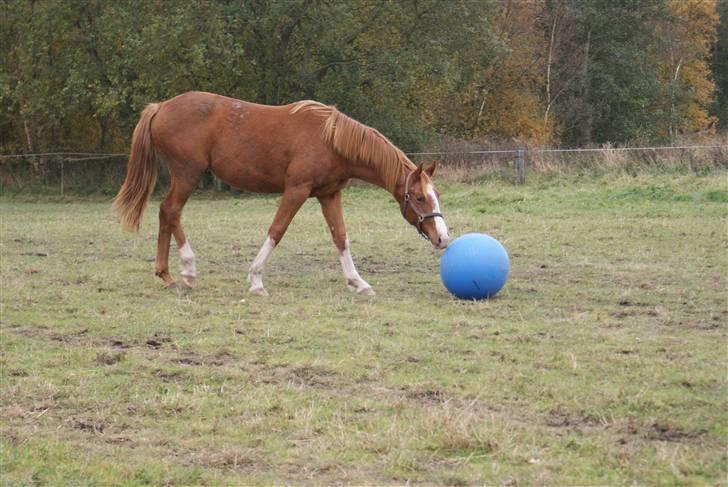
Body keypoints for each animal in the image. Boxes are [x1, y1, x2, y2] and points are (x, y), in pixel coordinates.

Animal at [112, 91, 450, 298]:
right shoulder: (296, 191)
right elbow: (277, 230)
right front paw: (256, 280)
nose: (443, 238)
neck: (330, 139)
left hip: (184, 177)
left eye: (435, 194)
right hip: (187, 175)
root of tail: (160, 107)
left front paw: (358, 282)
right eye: (419, 197)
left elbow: (340, 237)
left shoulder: (329, 195)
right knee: (170, 211)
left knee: (167, 213)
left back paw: (172, 274)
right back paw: (183, 270)